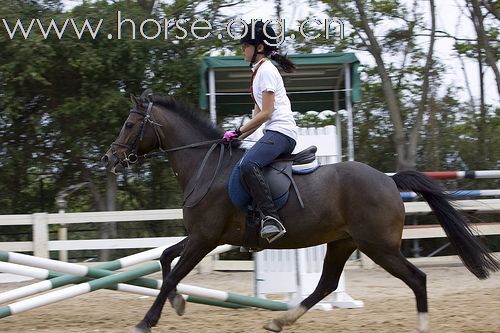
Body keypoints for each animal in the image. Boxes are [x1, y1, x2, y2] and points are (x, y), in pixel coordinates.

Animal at [99, 91, 498, 332]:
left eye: (130, 124)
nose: (109, 159)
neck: (205, 166)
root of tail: (388, 180)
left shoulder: (205, 237)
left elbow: (169, 275)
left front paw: (147, 320)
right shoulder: (202, 237)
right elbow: (166, 259)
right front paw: (179, 303)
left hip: (378, 246)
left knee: (417, 279)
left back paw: (421, 324)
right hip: (343, 242)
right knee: (326, 284)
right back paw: (281, 320)